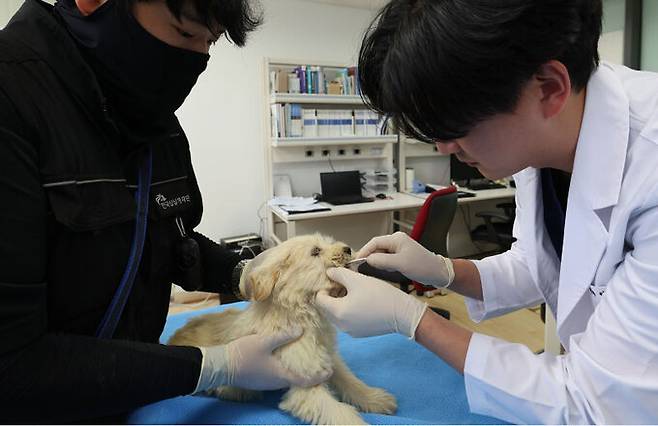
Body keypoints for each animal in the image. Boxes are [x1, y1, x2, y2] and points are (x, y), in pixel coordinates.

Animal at [168, 235, 394, 424]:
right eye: (315, 251)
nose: (348, 248)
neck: (304, 315)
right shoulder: (306, 383)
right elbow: (340, 414)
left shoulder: (329, 360)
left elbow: (350, 381)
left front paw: (375, 398)